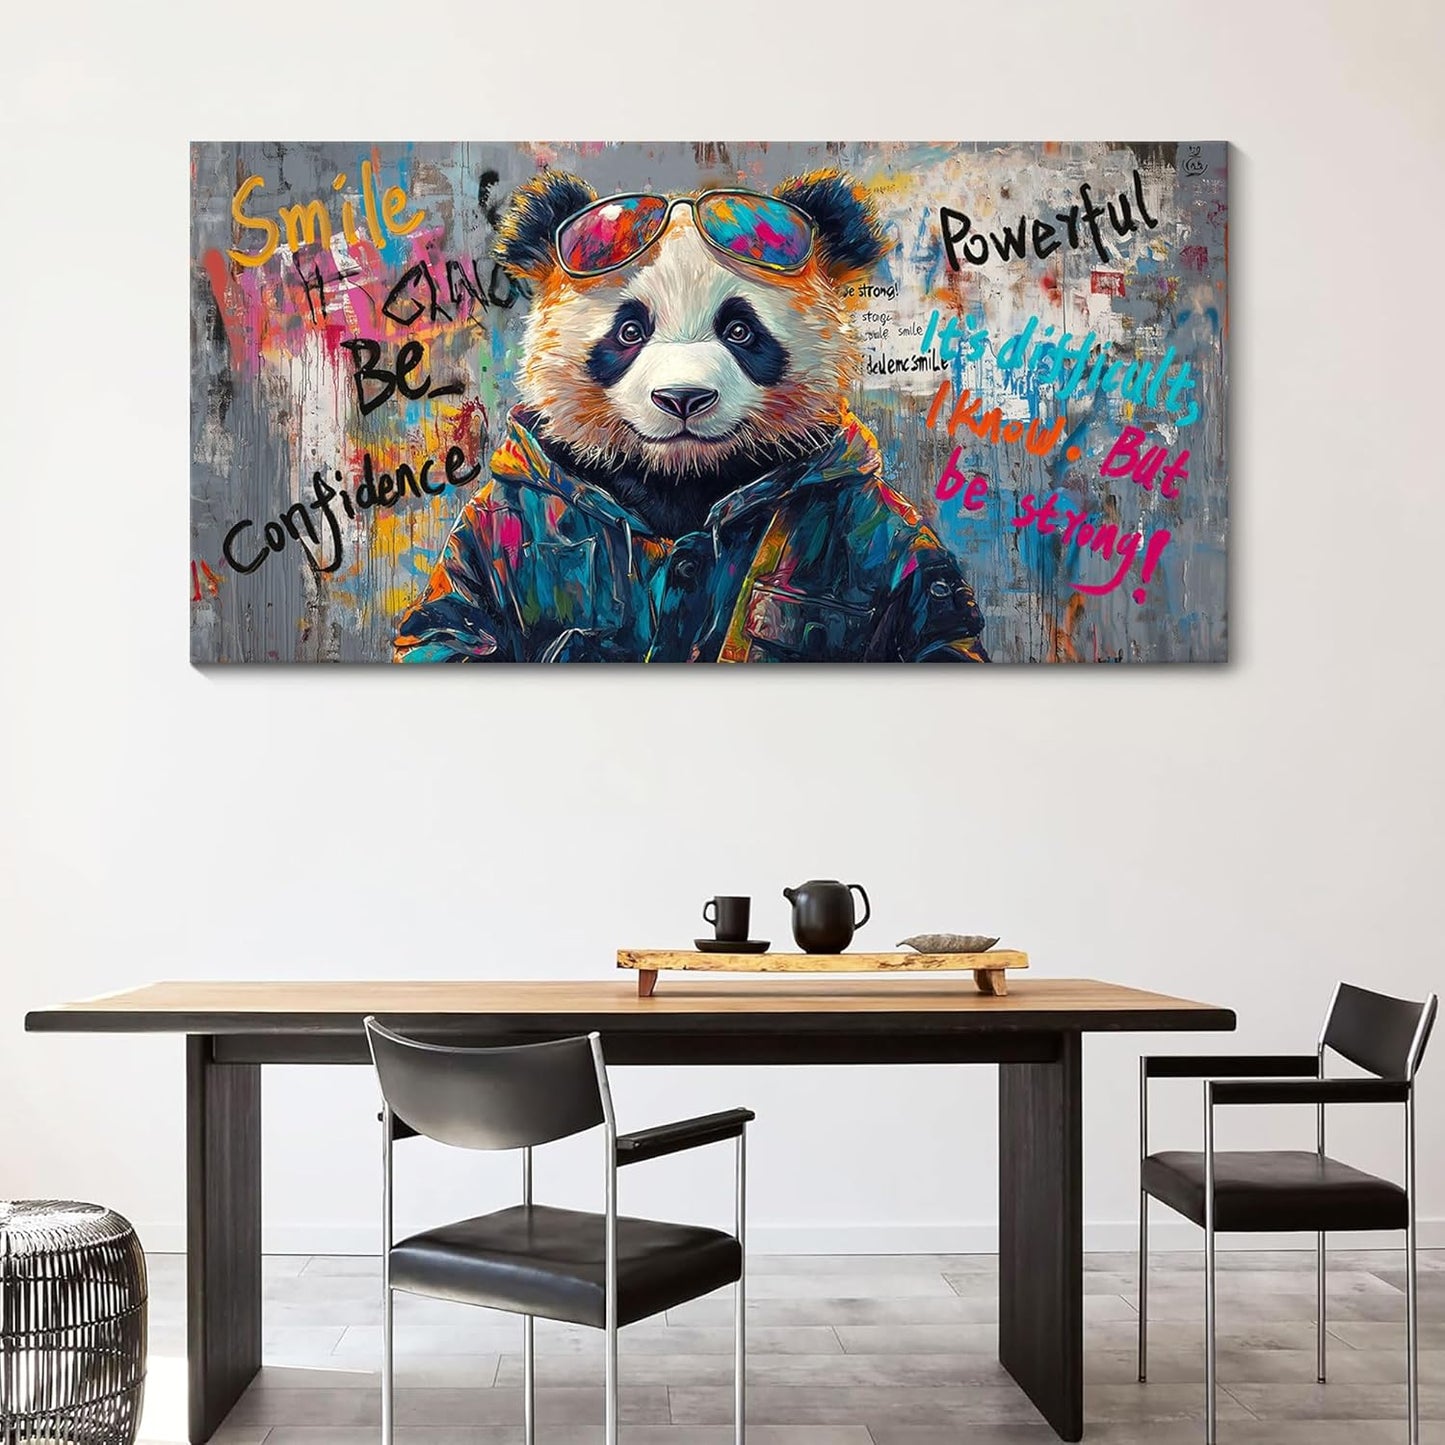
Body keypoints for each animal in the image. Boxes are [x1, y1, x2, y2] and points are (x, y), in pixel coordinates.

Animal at [394, 168, 989, 663]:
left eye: (741, 330)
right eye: (629, 331)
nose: (682, 398)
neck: (681, 475)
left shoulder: (875, 522)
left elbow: (933, 630)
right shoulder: (492, 519)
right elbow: (452, 626)